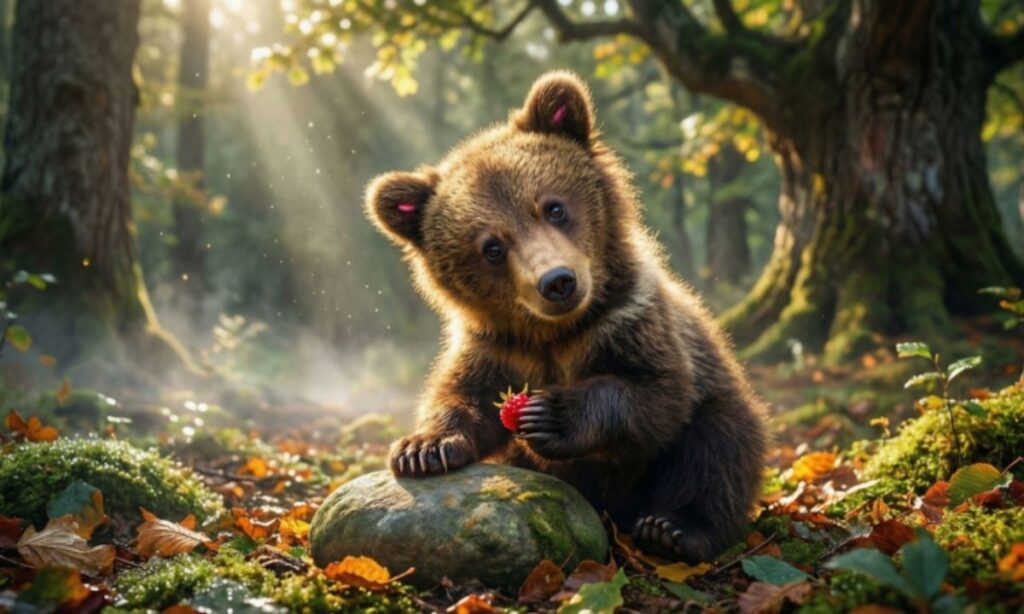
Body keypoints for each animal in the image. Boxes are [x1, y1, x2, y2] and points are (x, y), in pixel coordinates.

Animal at [364, 70, 768, 564]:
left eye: (554, 207)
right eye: (491, 247)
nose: (557, 281)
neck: (554, 333)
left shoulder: (630, 321)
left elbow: (656, 394)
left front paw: (549, 414)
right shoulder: (496, 347)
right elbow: (462, 393)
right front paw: (422, 448)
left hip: (718, 401)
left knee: (719, 445)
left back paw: (673, 528)